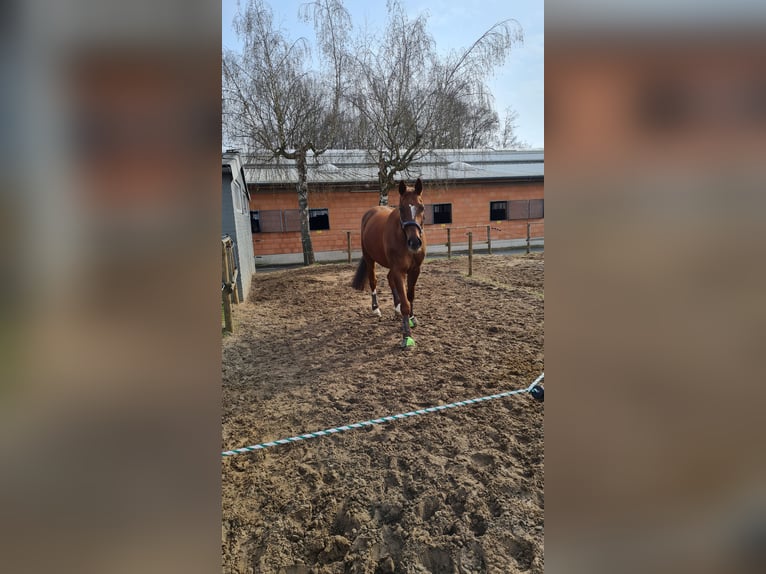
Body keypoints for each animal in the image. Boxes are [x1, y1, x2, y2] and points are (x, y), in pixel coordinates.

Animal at [352, 178, 426, 348]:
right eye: (401, 208)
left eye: (422, 207)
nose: (414, 242)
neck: (403, 237)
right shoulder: (399, 270)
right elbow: (405, 302)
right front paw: (407, 336)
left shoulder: (415, 270)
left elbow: (410, 296)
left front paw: (411, 319)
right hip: (369, 258)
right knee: (374, 281)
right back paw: (376, 309)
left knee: (389, 279)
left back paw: (396, 308)